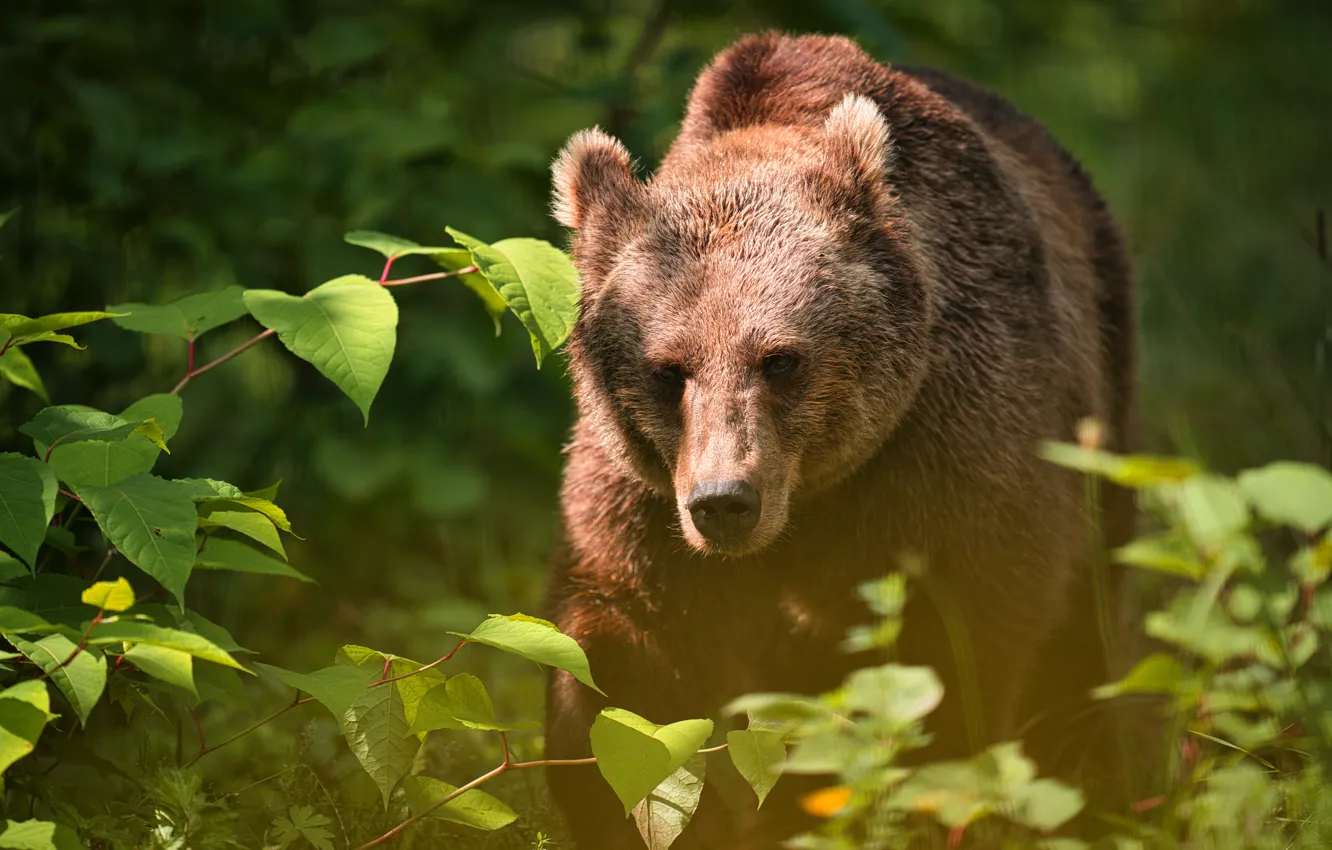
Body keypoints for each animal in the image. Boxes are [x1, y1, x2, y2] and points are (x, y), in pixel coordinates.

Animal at [541, 31, 1139, 850]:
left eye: (780, 359)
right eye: (668, 368)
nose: (724, 501)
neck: (812, 494)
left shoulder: (952, 441)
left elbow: (956, 638)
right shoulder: (640, 490)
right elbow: (625, 645)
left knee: (1091, 613)